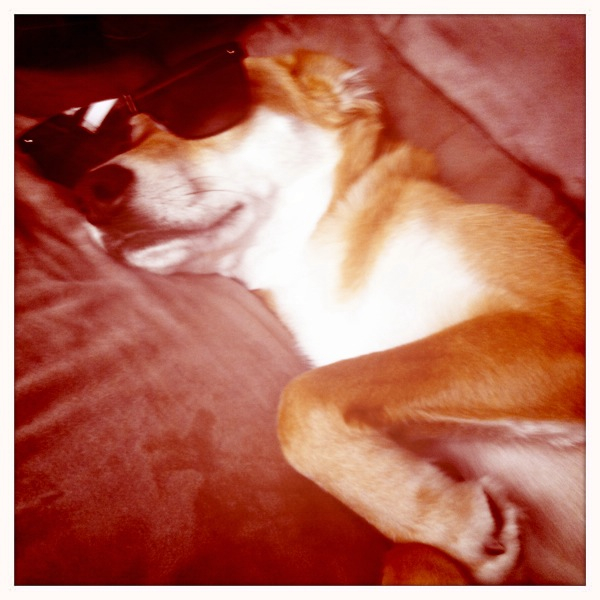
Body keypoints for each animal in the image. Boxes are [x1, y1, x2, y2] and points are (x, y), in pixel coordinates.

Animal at [72, 50, 585, 585]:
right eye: (129, 137)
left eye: (196, 108)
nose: (88, 191)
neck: (313, 264)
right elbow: (405, 554)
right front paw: (439, 524)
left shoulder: (553, 328)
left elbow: (304, 396)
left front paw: (450, 523)